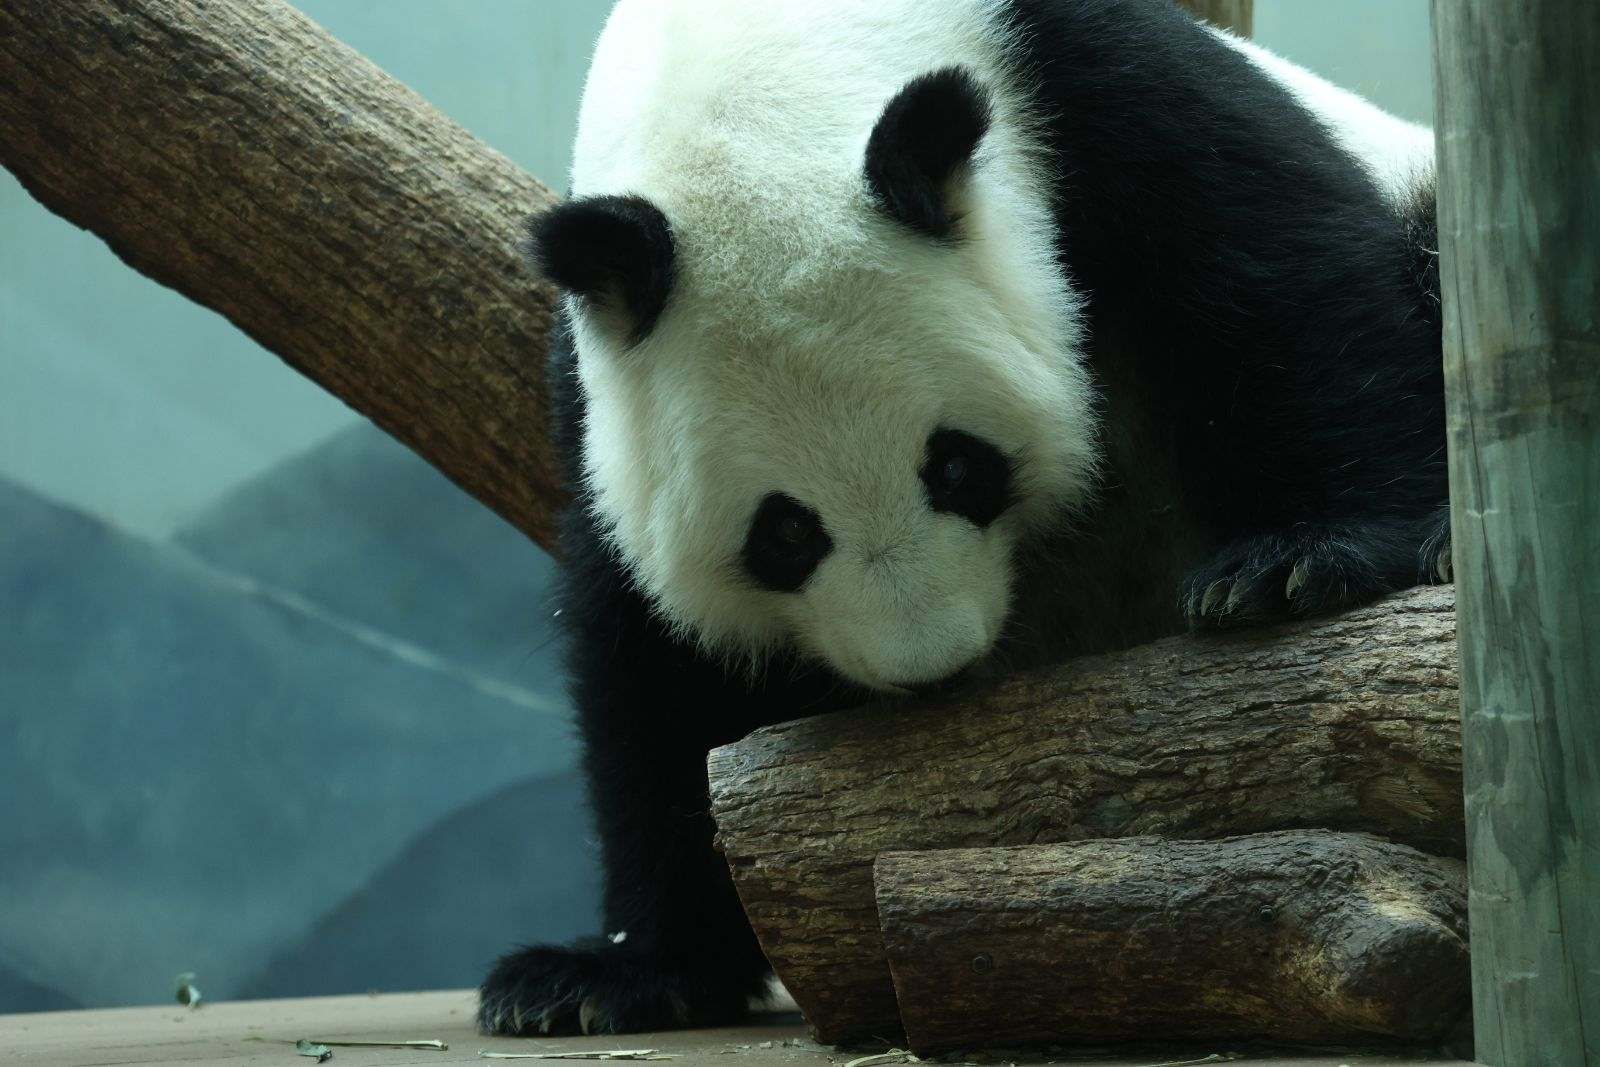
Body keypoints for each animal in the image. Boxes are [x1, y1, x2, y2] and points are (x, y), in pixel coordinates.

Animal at [479, 0, 1446, 1038]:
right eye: (785, 534)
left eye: (956, 467)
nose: (932, 667)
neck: (740, 65)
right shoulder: (604, 385)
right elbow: (653, 663)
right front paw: (607, 973)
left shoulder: (1093, 83)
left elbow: (1276, 269)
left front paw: (1296, 560)